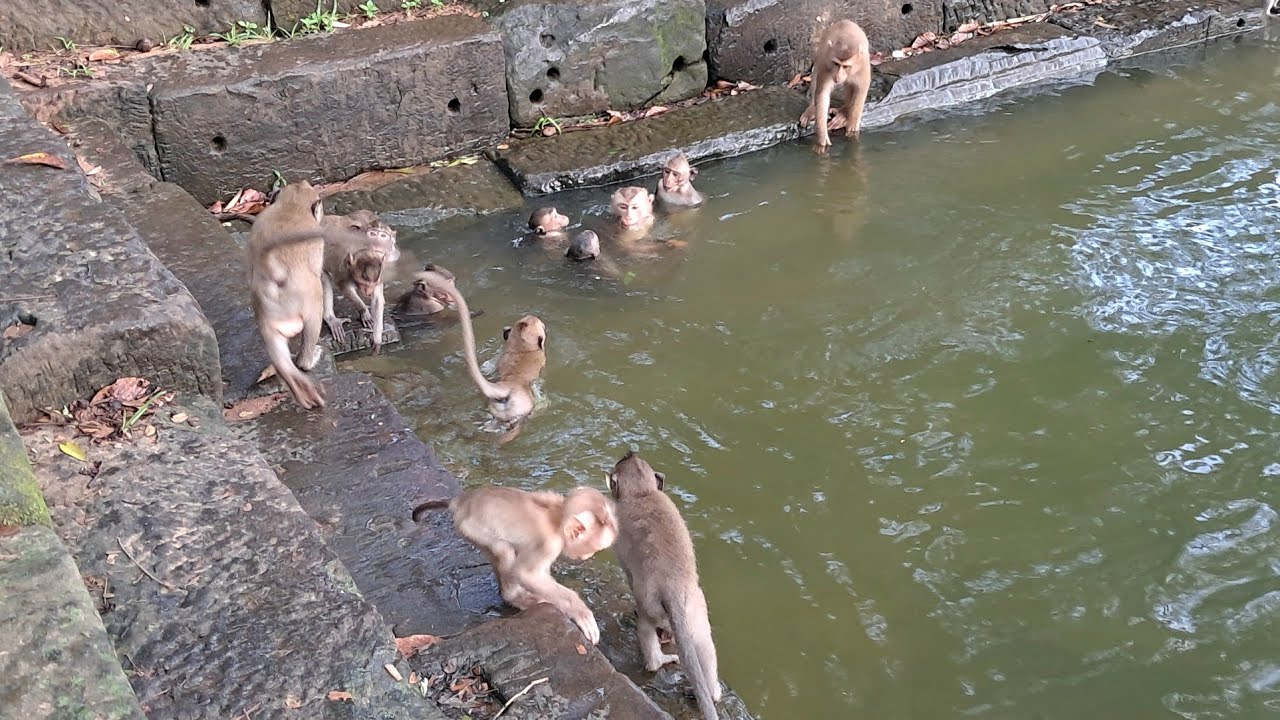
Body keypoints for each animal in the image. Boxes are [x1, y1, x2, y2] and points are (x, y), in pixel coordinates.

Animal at [247, 180, 330, 410]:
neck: (292, 205)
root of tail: (276, 274)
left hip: (265, 313)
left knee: (281, 358)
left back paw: (300, 389)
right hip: (310, 299)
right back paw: (309, 361)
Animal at [414, 485, 618, 644]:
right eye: (594, 547)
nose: (590, 555)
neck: (557, 517)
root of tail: (464, 501)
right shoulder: (549, 543)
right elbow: (526, 573)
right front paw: (580, 612)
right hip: (469, 528)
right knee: (503, 549)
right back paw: (514, 597)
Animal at [608, 450, 720, 720]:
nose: (630, 451)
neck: (643, 493)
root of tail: (674, 590)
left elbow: (629, 572)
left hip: (650, 605)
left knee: (645, 627)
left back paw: (657, 660)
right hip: (696, 614)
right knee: (705, 646)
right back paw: (711, 692)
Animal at [799, 19, 872, 153]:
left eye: (846, 66)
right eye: (836, 64)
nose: (838, 76)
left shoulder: (862, 66)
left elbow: (861, 88)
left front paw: (852, 128)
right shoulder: (827, 65)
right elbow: (822, 94)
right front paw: (822, 139)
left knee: (851, 86)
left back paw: (844, 112)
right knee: (816, 74)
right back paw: (812, 109)